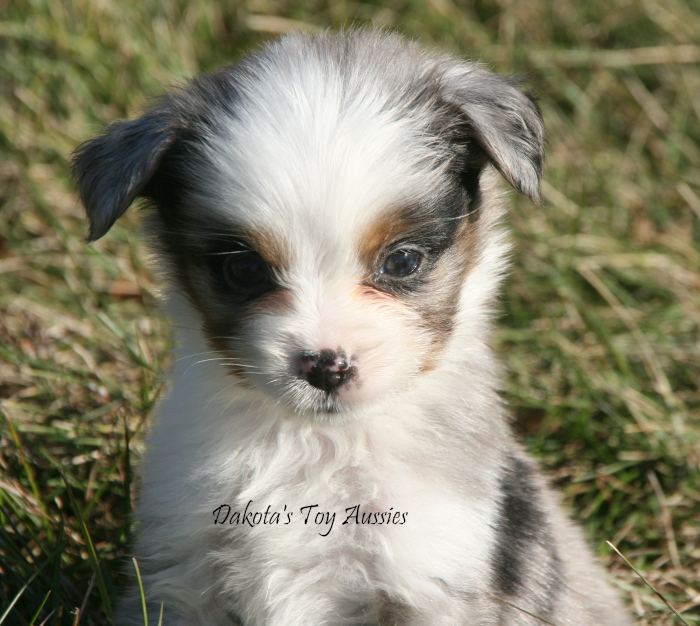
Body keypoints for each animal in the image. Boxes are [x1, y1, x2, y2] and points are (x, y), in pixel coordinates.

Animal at [72, 28, 636, 624]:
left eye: (402, 261)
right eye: (243, 269)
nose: (326, 367)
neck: (318, 444)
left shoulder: (426, 577)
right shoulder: (179, 576)